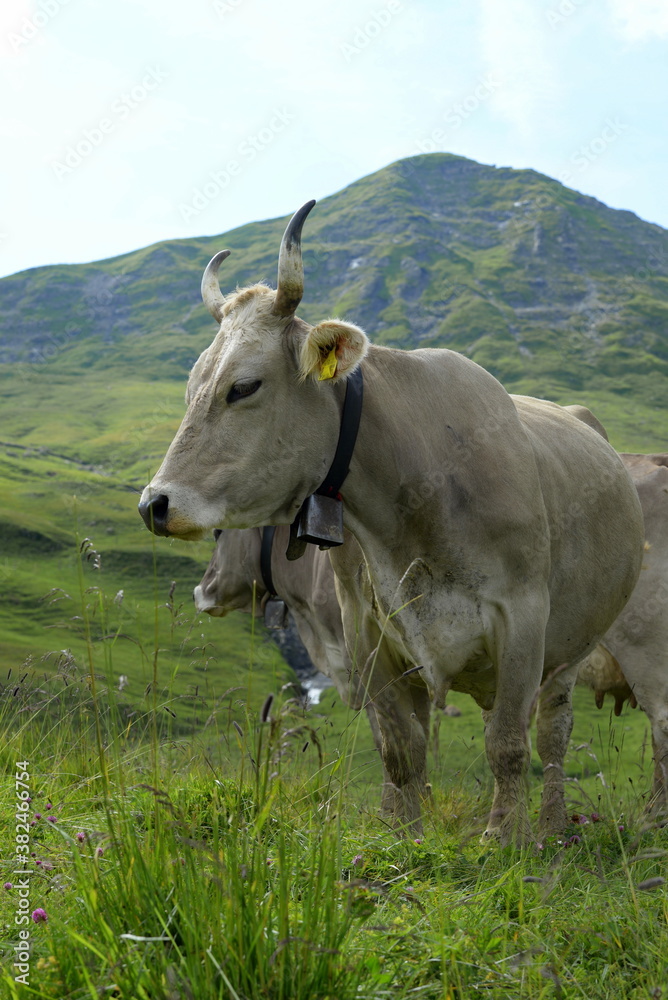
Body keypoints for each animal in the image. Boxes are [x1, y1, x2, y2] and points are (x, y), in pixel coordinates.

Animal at [138, 203, 644, 844]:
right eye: (191, 385)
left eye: (244, 385)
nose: (154, 504)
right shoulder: (371, 633)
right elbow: (401, 750)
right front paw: (403, 836)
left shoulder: (524, 619)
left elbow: (507, 746)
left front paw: (503, 840)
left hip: (571, 653)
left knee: (553, 735)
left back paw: (552, 829)